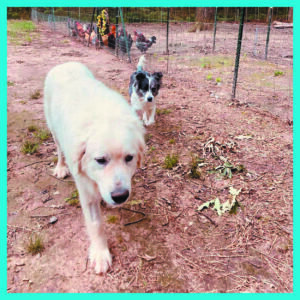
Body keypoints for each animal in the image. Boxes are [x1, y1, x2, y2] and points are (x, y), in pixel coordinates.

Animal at [43, 61, 145, 274]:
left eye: (129, 158)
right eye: (100, 160)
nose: (120, 196)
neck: (105, 118)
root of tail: (65, 63)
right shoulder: (86, 191)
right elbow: (96, 224)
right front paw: (100, 254)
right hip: (54, 131)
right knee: (59, 150)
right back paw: (60, 167)